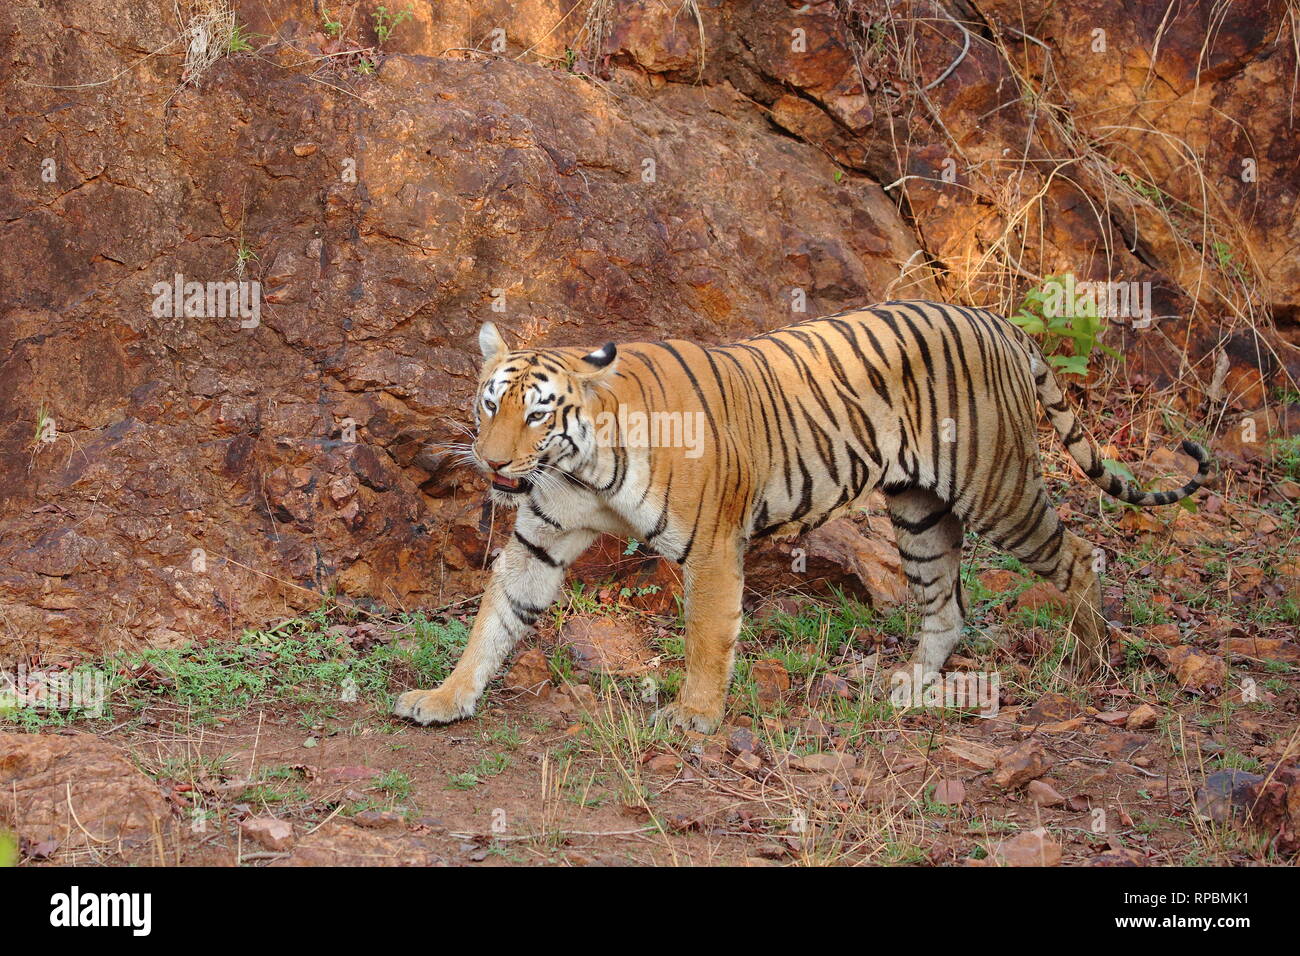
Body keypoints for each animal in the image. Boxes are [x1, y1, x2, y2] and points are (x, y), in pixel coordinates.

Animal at [392, 299, 1206, 733]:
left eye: (536, 415)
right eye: (489, 405)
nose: (492, 463)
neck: (582, 463)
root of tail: (994, 318)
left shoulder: (714, 547)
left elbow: (707, 637)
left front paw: (693, 719)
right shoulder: (542, 537)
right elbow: (495, 620)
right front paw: (445, 698)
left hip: (997, 486)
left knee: (1075, 557)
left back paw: (1089, 660)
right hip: (918, 512)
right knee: (947, 607)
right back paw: (911, 690)